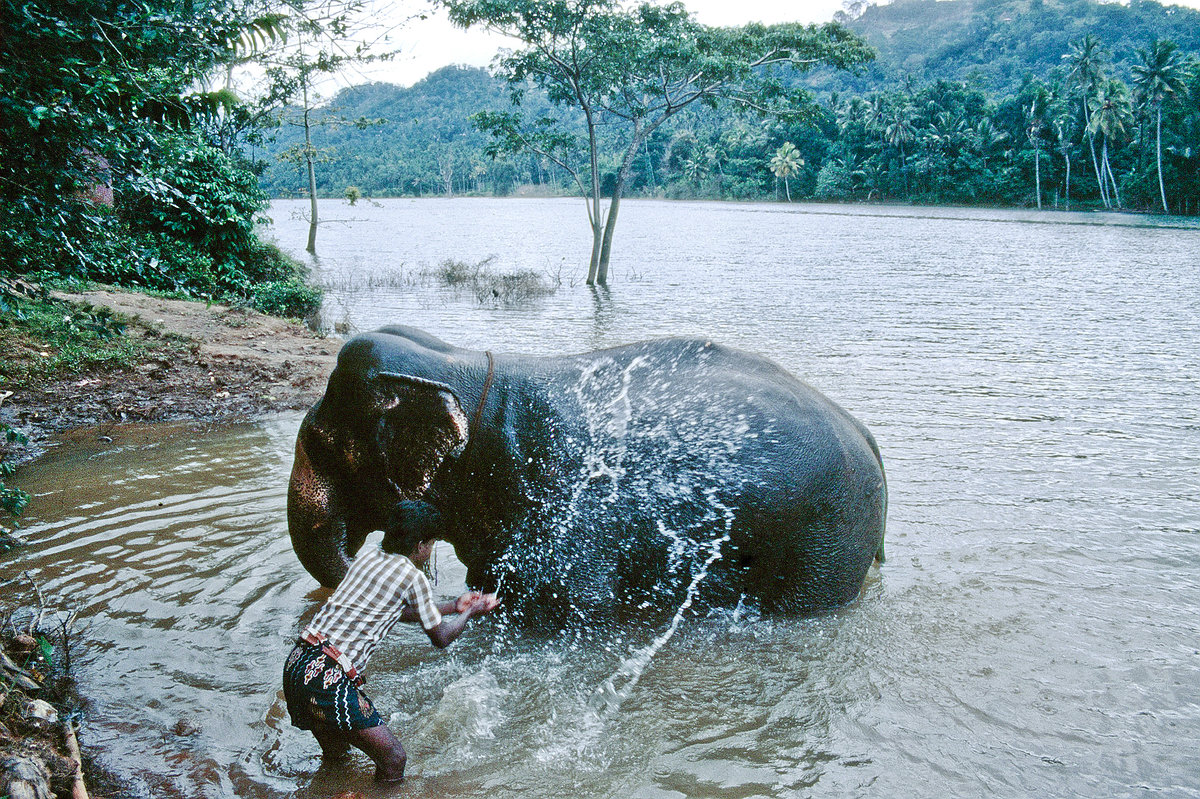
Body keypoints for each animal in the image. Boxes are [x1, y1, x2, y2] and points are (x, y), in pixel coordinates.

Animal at [289, 323, 888, 614]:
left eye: (321, 443)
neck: (463, 365)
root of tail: (865, 433)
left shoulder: (562, 497)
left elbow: (567, 599)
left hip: (831, 530)